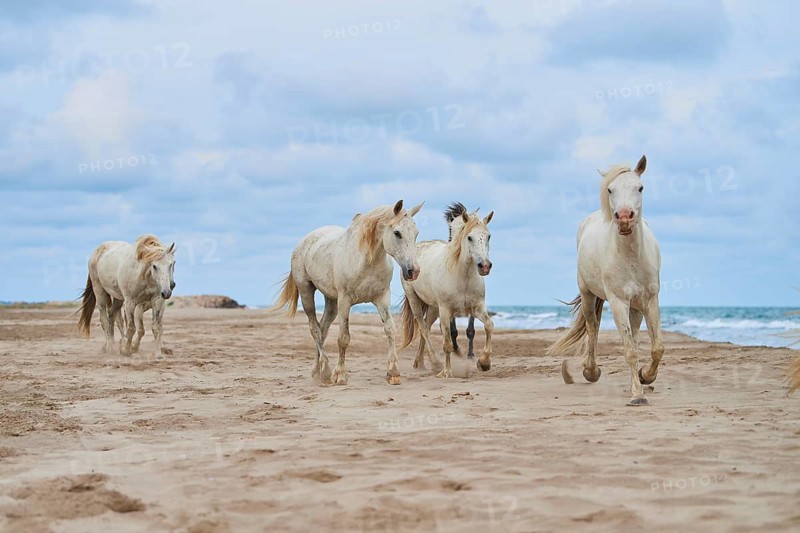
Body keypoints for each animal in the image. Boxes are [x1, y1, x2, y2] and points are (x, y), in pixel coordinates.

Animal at [270, 200, 423, 385]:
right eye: (397, 233)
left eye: (416, 233)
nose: (413, 271)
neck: (366, 261)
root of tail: (303, 242)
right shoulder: (345, 300)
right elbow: (343, 338)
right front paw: (340, 374)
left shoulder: (382, 298)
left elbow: (390, 329)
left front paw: (393, 373)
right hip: (307, 293)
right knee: (315, 329)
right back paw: (326, 370)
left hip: (331, 302)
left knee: (323, 329)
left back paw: (317, 371)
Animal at [399, 204, 494, 378]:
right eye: (469, 237)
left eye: (488, 236)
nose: (484, 266)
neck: (462, 276)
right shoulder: (446, 311)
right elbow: (448, 342)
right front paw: (447, 372)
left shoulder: (477, 308)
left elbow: (489, 326)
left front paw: (484, 363)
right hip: (415, 299)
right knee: (422, 327)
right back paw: (436, 364)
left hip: (433, 307)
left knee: (426, 327)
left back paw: (420, 363)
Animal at [547, 155, 664, 406]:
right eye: (610, 189)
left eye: (640, 187)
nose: (624, 218)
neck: (631, 257)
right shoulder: (618, 301)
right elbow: (629, 350)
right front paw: (638, 395)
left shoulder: (650, 300)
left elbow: (656, 347)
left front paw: (645, 377)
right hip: (588, 295)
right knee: (593, 327)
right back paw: (591, 372)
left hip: (635, 306)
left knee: (634, 334)